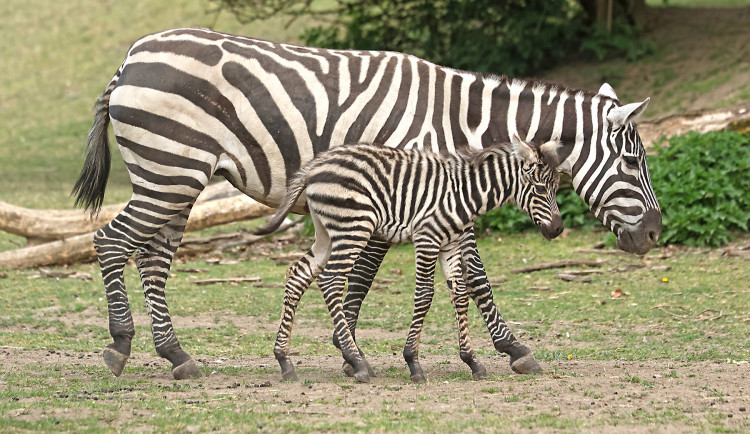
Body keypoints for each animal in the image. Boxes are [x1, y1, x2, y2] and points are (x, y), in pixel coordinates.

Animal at [254, 136, 562, 383]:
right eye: (538, 188)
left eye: (556, 187)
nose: (558, 229)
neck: (465, 192)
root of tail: (315, 165)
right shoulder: (427, 237)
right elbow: (425, 295)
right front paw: (413, 362)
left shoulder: (450, 244)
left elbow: (460, 295)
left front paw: (472, 361)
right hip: (353, 226)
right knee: (331, 281)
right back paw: (357, 362)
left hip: (325, 232)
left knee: (297, 274)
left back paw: (285, 361)